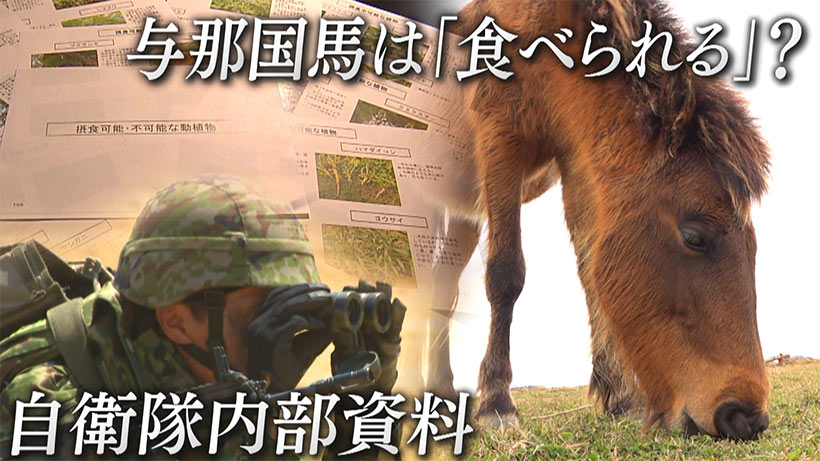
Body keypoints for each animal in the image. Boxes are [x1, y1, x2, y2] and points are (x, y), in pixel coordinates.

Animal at [423, 0, 772, 440]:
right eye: (695, 237)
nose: (746, 416)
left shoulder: (577, 163)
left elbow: (591, 273)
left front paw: (617, 396)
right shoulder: (501, 140)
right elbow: (506, 275)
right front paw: (497, 402)